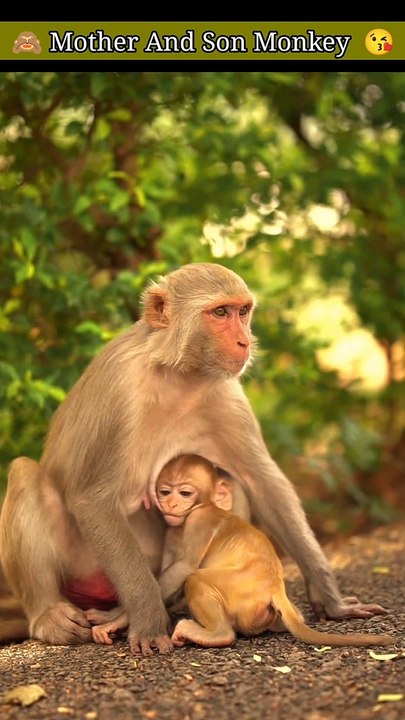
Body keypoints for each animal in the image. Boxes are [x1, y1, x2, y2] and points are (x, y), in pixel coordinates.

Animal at [87, 455, 393, 649]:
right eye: (165, 492)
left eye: (185, 493)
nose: (171, 504)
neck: (203, 506)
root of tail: (274, 587)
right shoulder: (172, 529)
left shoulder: (199, 520)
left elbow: (184, 567)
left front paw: (118, 619)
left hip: (240, 591)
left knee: (197, 580)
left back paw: (212, 635)